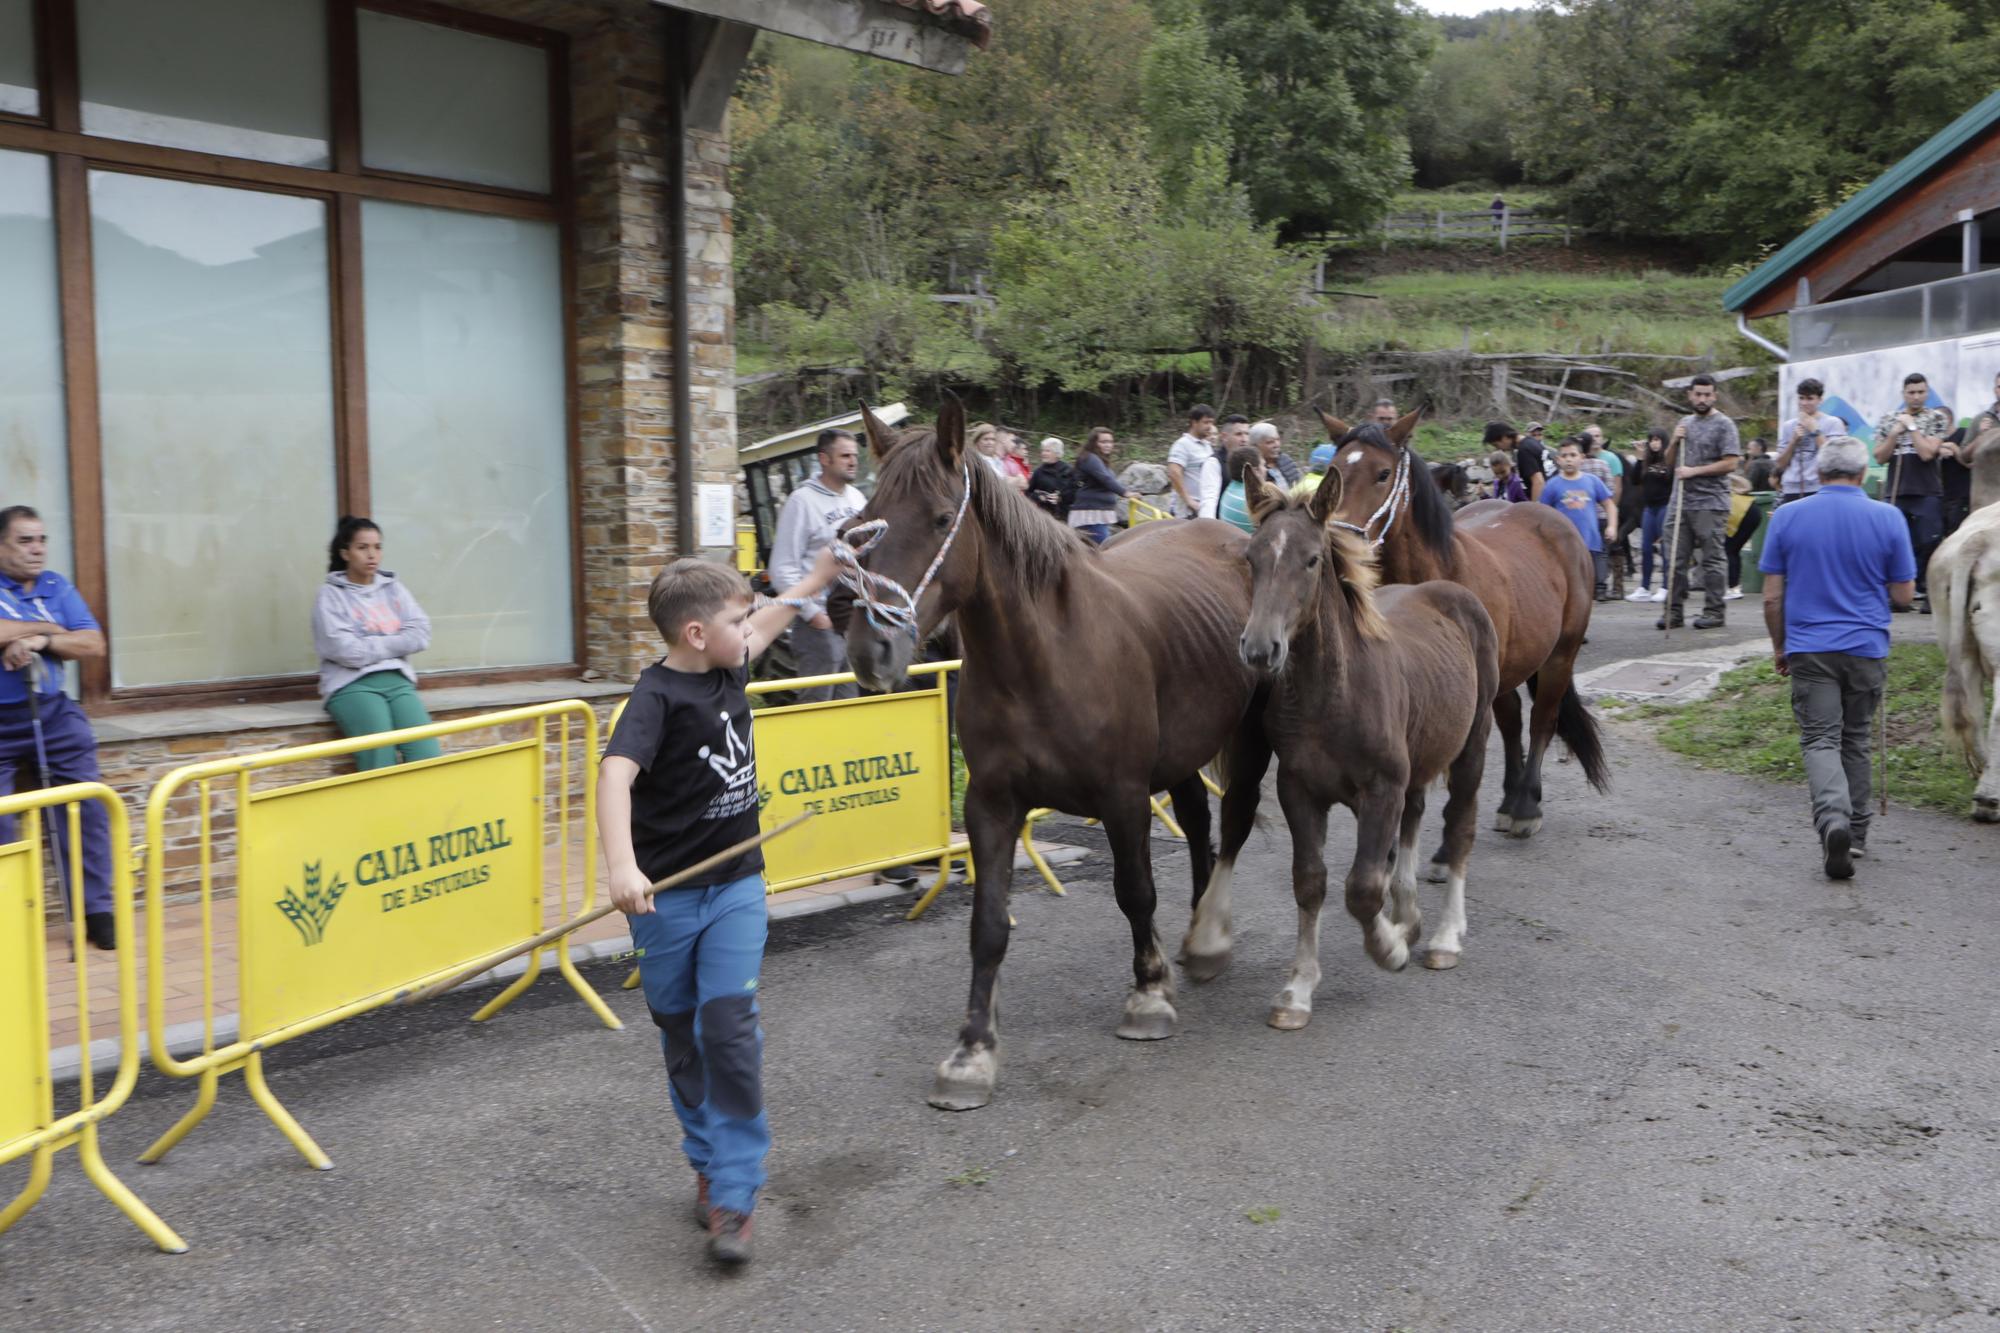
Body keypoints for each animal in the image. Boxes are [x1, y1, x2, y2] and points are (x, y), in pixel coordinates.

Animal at [848, 400, 1264, 1104]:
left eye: (940, 518)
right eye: (866, 521)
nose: (869, 649)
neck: (1042, 658)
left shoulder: (1123, 796)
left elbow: (1135, 891)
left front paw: (1148, 996)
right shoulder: (991, 805)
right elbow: (988, 925)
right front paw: (972, 1051)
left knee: (1233, 825)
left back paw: (1208, 939)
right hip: (1183, 753)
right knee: (1199, 826)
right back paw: (1197, 932)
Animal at [1176, 462, 1496, 1020]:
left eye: (1310, 560)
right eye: (1251, 558)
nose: (1259, 648)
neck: (1334, 695)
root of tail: (1453, 594)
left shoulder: (1382, 789)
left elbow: (1363, 888)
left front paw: (1388, 948)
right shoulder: (1301, 792)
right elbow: (1311, 881)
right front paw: (1298, 989)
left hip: (1470, 749)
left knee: (1460, 827)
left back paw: (1443, 938)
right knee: (1415, 819)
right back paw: (1410, 916)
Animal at [1320, 412, 1616, 852]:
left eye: (1383, 473)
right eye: (1334, 470)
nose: (1336, 543)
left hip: (1559, 657)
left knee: (1541, 721)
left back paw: (1526, 806)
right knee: (1512, 722)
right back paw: (1510, 799)